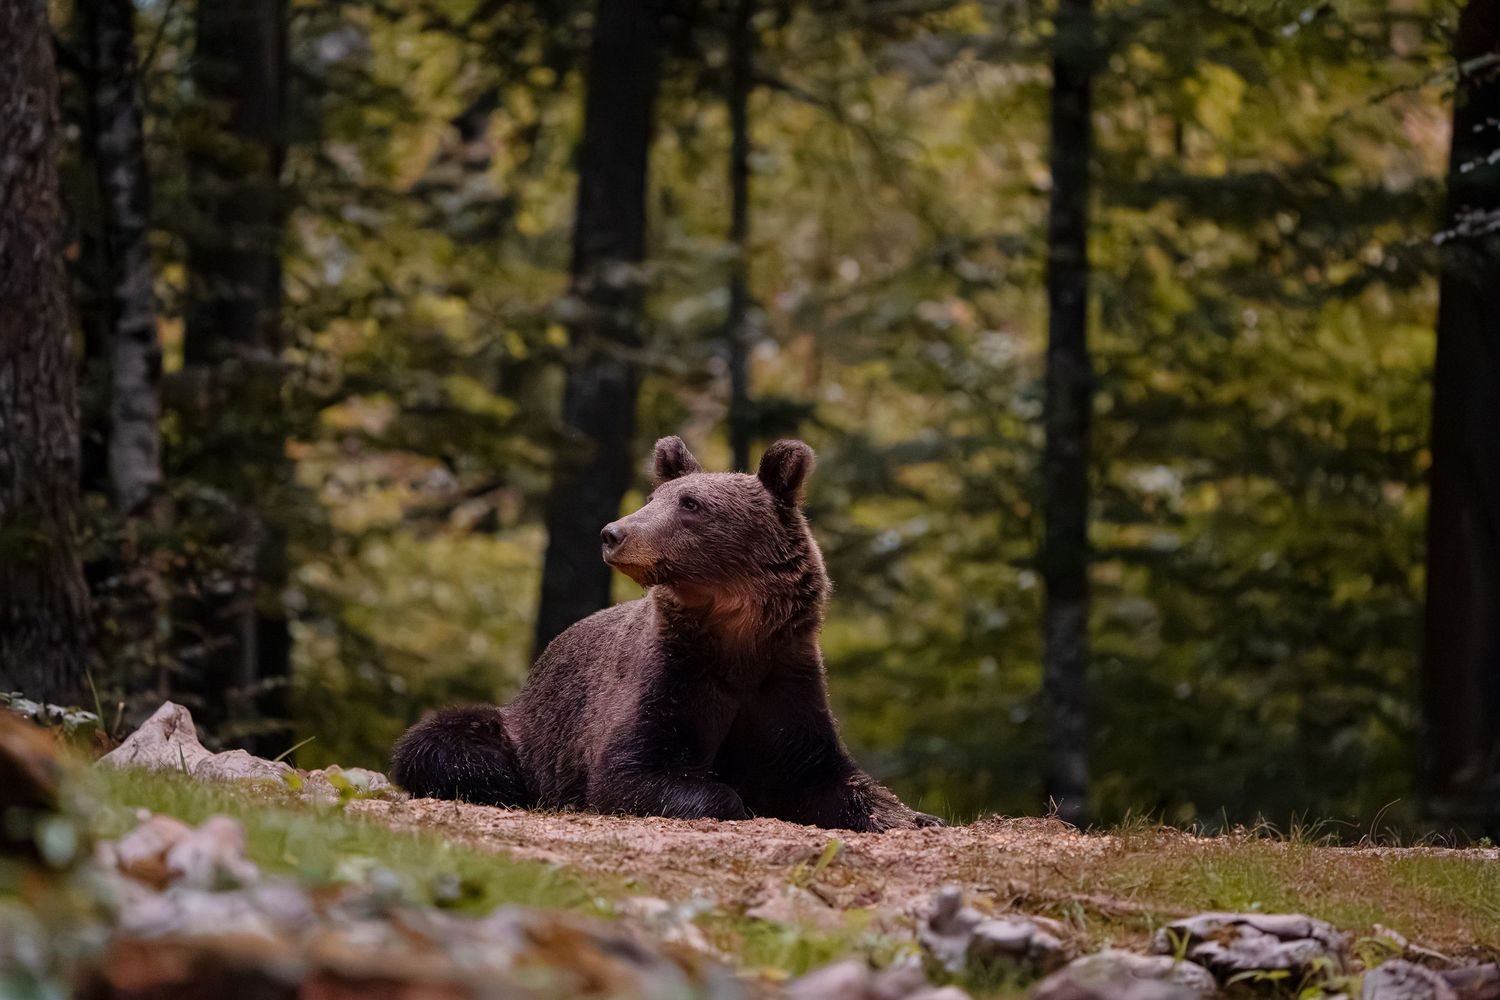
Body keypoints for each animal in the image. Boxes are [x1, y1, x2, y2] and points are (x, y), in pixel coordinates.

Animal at [389, 436, 942, 832]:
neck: (736, 641)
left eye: (691, 503)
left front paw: (914, 815)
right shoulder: (670, 673)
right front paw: (733, 801)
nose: (613, 533)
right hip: (524, 732)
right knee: (448, 741)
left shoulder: (782, 677)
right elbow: (635, 766)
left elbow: (824, 773)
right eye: (654, 497)